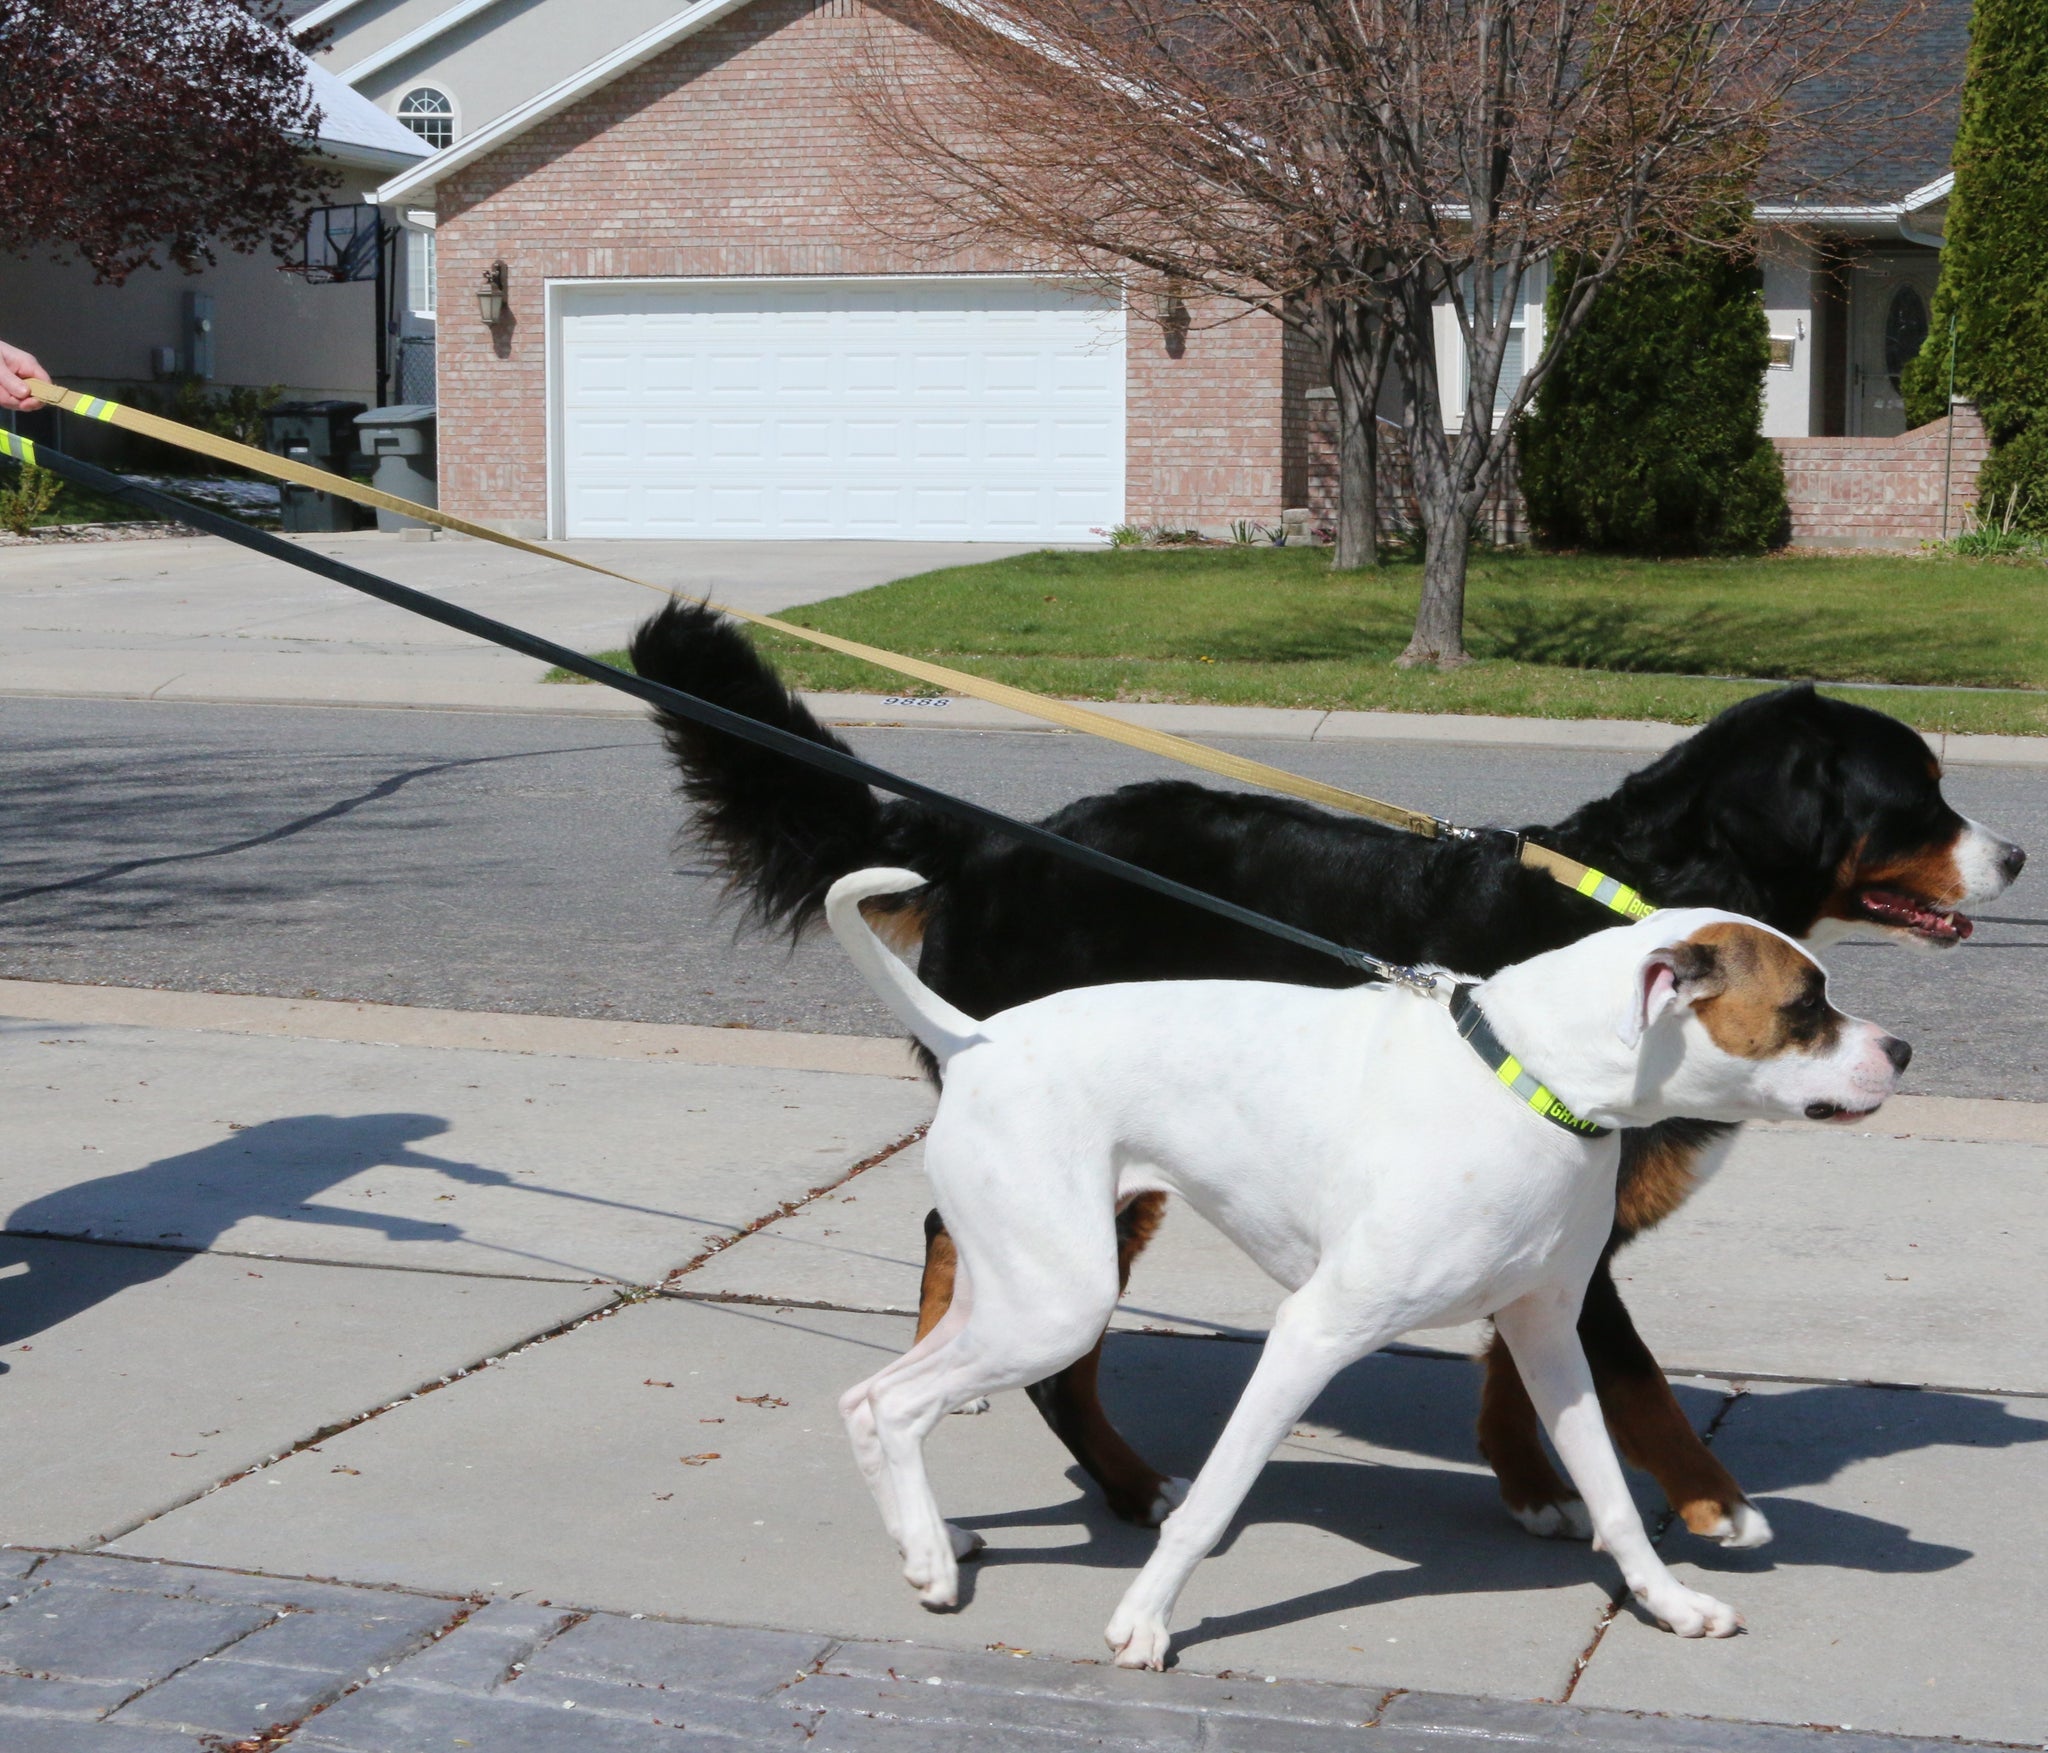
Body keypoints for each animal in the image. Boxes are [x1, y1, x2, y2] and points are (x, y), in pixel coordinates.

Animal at [630, 597, 2023, 1548]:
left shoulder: (1547, 1219)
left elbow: (1517, 1360)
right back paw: (1110, 1466)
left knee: (947, 1240)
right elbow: (1634, 1377)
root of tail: (982, 841)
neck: (1647, 898)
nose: (2013, 854)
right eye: (1918, 794)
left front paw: (1528, 1482)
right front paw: (1708, 1502)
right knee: (1003, 1290)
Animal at [823, 868, 1908, 1662]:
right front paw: (1144, 1622)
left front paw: (1669, 1601)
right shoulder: (1313, 1332)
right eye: (1806, 1004)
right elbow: (1211, 1504)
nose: (1899, 1048)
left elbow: (1611, 1494)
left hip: (1017, 1289)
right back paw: (934, 1559)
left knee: (870, 1396)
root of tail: (978, 1036)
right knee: (896, 1400)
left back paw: (930, 1541)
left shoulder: (1549, 1336)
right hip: (1058, 1302)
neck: (1528, 1078)